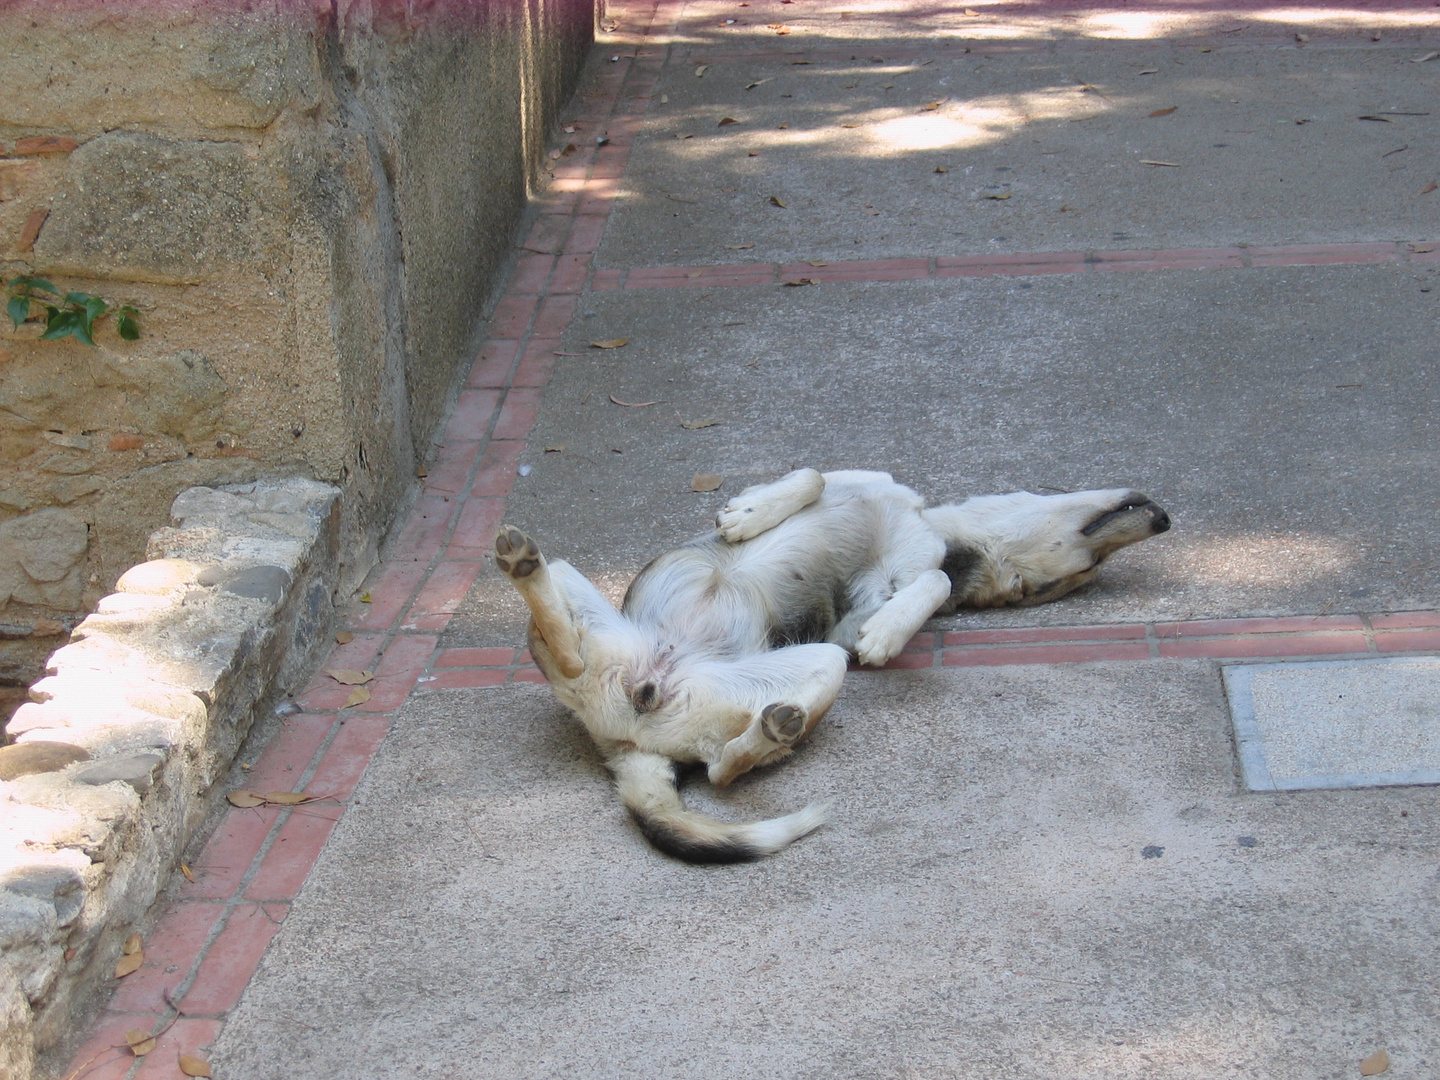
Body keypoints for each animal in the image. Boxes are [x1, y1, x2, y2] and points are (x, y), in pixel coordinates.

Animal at [495, 469, 1169, 869]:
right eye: (1086, 570)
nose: (1164, 520)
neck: (931, 527)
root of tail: (624, 745)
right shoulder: (857, 484)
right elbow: (812, 478)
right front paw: (746, 514)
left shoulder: (857, 615)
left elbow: (931, 583)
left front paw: (891, 631)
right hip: (584, 592)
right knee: (560, 637)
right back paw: (524, 565)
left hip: (813, 662)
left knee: (719, 766)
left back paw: (772, 733)